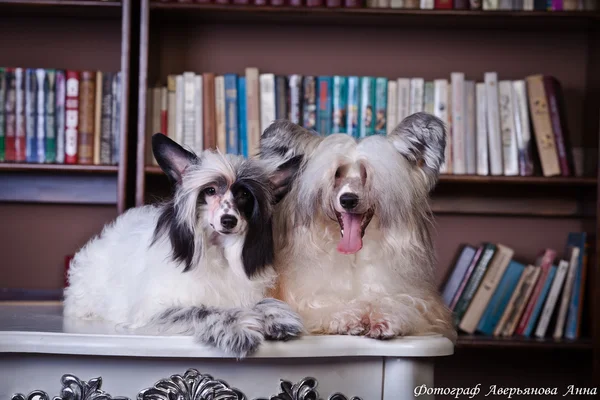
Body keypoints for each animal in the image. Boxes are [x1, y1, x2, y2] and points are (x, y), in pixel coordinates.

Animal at [64, 133, 304, 358]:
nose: (228, 221)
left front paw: (277, 316)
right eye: (210, 191)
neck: (218, 252)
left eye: (244, 194)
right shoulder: (156, 311)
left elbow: (260, 302)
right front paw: (237, 328)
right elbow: (205, 311)